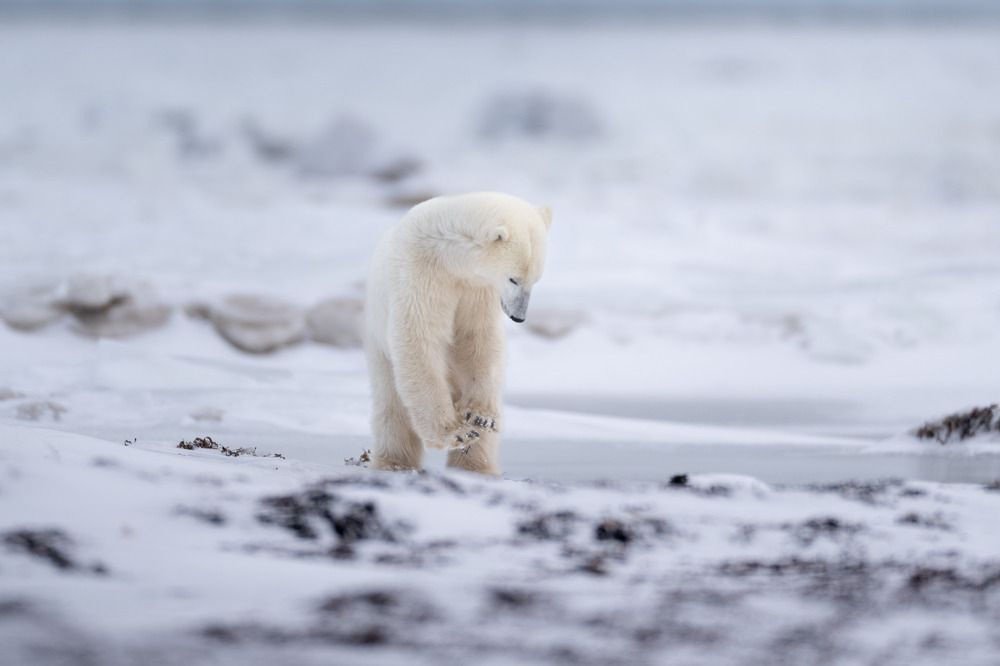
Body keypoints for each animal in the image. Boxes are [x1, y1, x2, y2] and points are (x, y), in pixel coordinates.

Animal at [364, 192, 553, 475]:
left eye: (535, 280)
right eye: (513, 279)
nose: (519, 317)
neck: (447, 256)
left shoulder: (477, 290)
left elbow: (478, 340)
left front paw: (480, 417)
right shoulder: (420, 277)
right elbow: (419, 341)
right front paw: (455, 433)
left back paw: (477, 466)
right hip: (380, 351)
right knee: (392, 407)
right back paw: (393, 462)